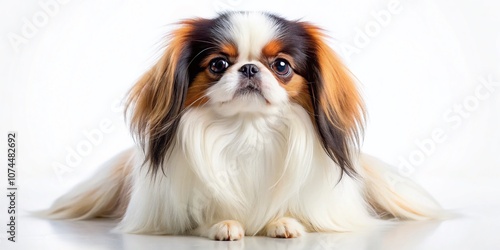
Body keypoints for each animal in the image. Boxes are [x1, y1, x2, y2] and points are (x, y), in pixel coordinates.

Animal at [43, 11, 444, 240]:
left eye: (281, 66)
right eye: (219, 64)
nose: (250, 69)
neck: (247, 130)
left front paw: (284, 223)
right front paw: (223, 223)